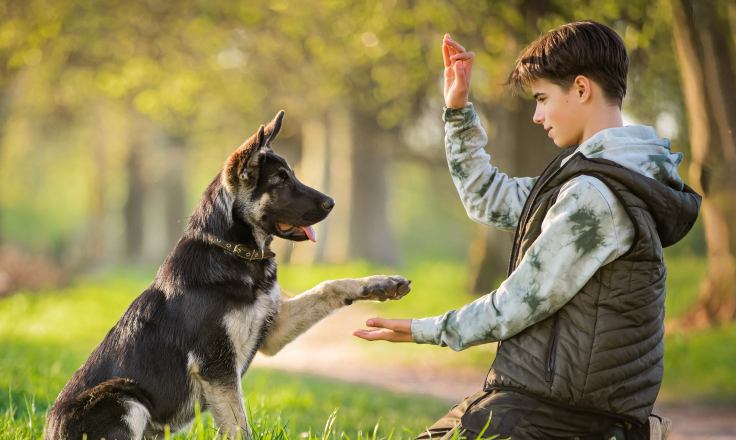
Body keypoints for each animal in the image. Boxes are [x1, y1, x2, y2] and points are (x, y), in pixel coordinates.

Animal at [44, 111, 414, 438]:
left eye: (292, 176)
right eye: (281, 181)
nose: (332, 203)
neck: (235, 252)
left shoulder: (272, 333)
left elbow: (328, 286)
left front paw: (379, 284)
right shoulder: (217, 369)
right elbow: (239, 428)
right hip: (123, 396)